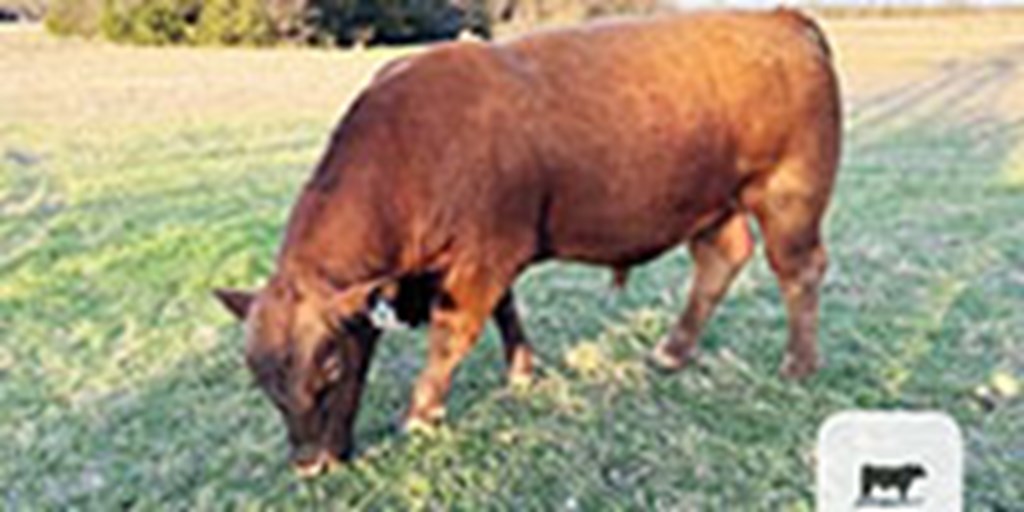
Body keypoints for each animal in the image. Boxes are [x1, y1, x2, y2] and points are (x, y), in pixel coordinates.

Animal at [214, 8, 839, 477]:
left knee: (798, 271)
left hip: (790, 193)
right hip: (711, 203)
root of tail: (781, 19)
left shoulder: (481, 260)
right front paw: (521, 369)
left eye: (329, 371)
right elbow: (505, 310)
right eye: (262, 381)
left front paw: (422, 414)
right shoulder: (480, 259)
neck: (412, 148)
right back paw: (671, 350)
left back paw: (799, 364)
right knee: (720, 260)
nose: (309, 464)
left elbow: (454, 332)